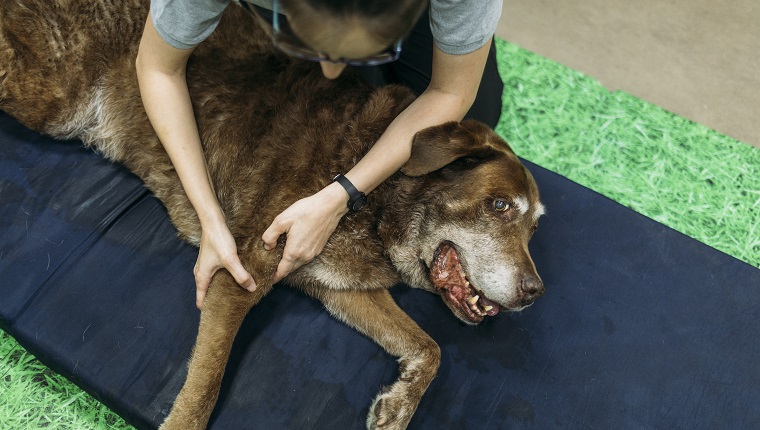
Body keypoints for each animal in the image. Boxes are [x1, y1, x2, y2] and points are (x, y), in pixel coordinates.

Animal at [0, 1, 548, 428]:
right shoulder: (239, 274)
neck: (382, 200)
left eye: (535, 225)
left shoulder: (342, 288)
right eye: (500, 206)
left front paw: (398, 406)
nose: (536, 293)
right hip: (51, 95)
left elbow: (431, 347)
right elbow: (203, 390)